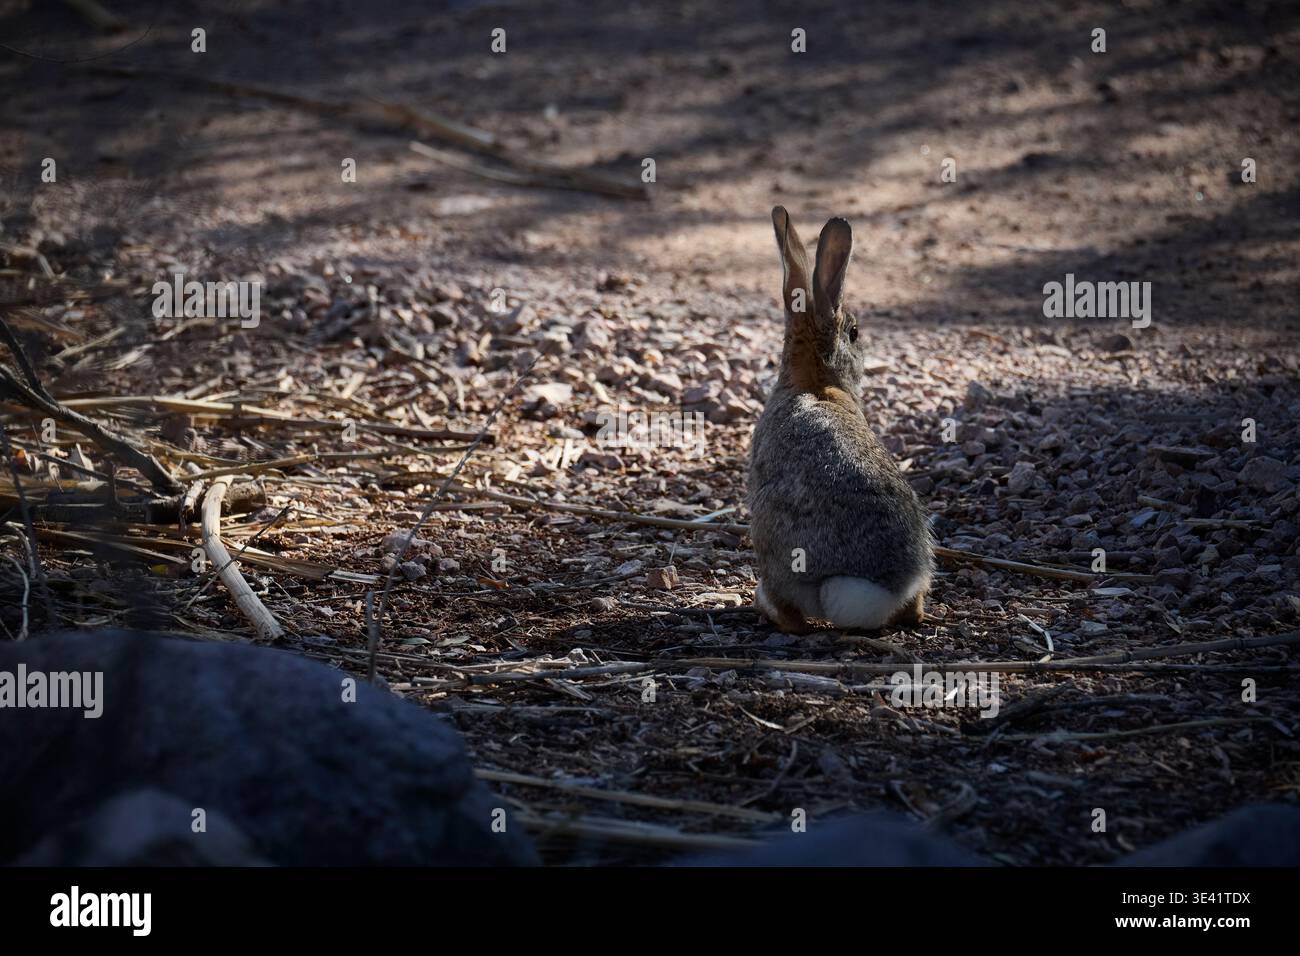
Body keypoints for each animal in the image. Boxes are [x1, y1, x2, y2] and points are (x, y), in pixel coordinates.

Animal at [747, 206, 934, 634]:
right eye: (856, 332)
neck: (817, 382)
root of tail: (880, 591)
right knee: (914, 610)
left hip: (776, 545)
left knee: (791, 615)